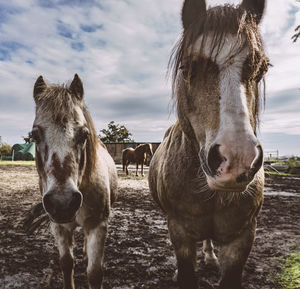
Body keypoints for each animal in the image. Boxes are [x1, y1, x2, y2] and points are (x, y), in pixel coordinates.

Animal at [31, 74, 117, 288]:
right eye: (34, 135)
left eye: (84, 134)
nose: (62, 203)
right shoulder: (59, 226)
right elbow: (66, 263)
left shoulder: (97, 225)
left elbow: (94, 273)